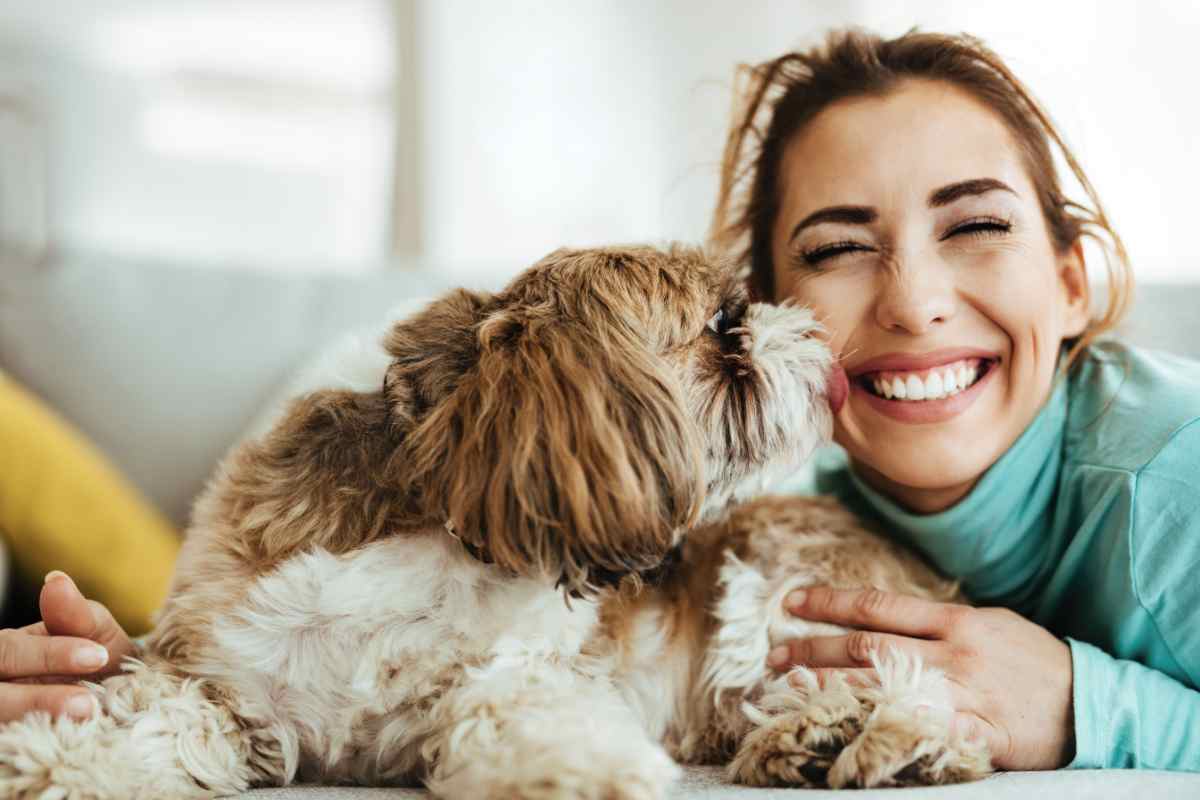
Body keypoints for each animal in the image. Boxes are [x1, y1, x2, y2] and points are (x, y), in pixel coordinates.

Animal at [0, 245, 988, 800]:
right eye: (722, 324)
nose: (817, 340)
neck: (441, 525)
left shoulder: (516, 673)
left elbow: (511, 715)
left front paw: (587, 774)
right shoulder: (217, 670)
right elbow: (148, 719)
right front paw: (57, 763)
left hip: (776, 588)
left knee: (911, 685)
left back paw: (873, 741)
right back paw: (809, 747)